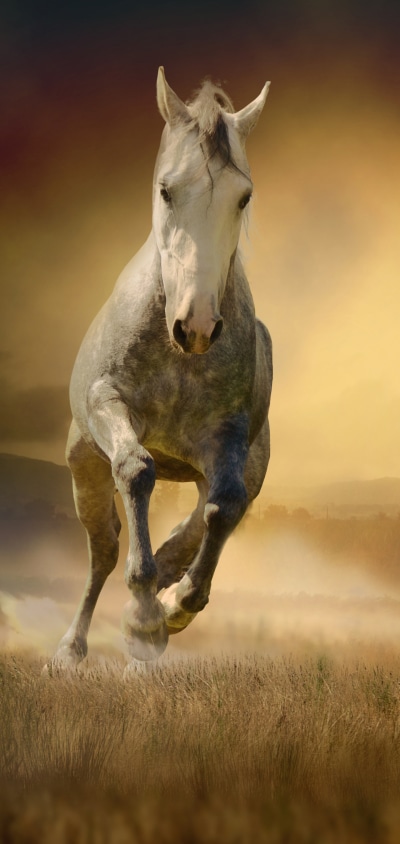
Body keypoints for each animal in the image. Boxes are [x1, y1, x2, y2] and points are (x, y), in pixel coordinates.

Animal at [51, 68, 273, 667]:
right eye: (167, 190)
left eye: (244, 197)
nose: (194, 326)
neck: (179, 361)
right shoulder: (110, 406)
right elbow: (137, 470)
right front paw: (144, 617)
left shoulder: (228, 438)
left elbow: (225, 506)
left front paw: (172, 607)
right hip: (85, 469)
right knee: (103, 552)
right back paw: (72, 649)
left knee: (203, 522)